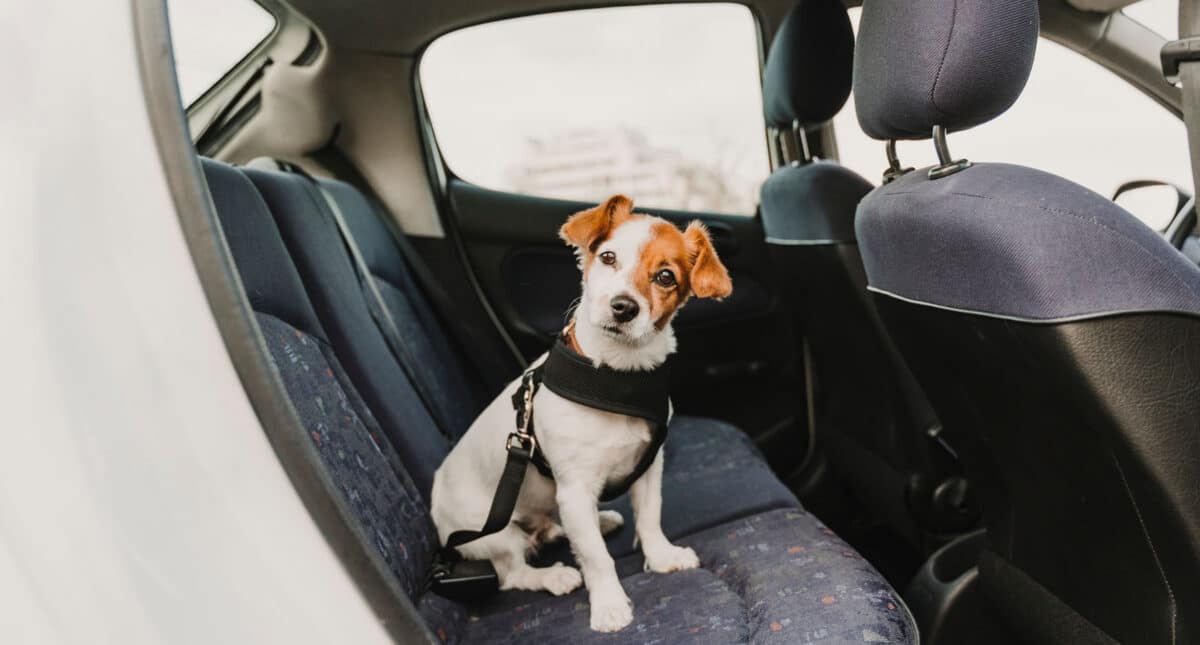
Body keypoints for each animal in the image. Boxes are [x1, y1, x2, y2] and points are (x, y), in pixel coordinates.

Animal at [432, 193, 729, 628]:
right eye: (607, 257)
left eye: (665, 277)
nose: (623, 307)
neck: (615, 377)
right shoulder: (573, 489)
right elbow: (595, 558)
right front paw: (608, 604)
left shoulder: (648, 468)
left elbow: (649, 517)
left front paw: (661, 557)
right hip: (493, 533)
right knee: (513, 572)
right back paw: (554, 576)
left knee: (553, 529)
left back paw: (591, 523)